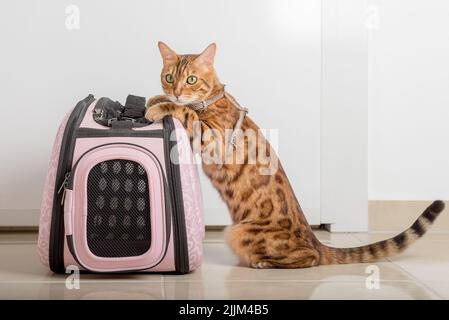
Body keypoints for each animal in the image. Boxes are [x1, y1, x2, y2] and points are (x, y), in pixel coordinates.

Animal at [144, 42, 444, 268]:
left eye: (191, 79)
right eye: (169, 78)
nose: (177, 91)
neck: (212, 99)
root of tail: (316, 240)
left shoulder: (213, 137)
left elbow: (186, 112)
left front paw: (160, 107)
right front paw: (156, 99)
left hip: (239, 232)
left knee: (309, 258)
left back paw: (263, 262)